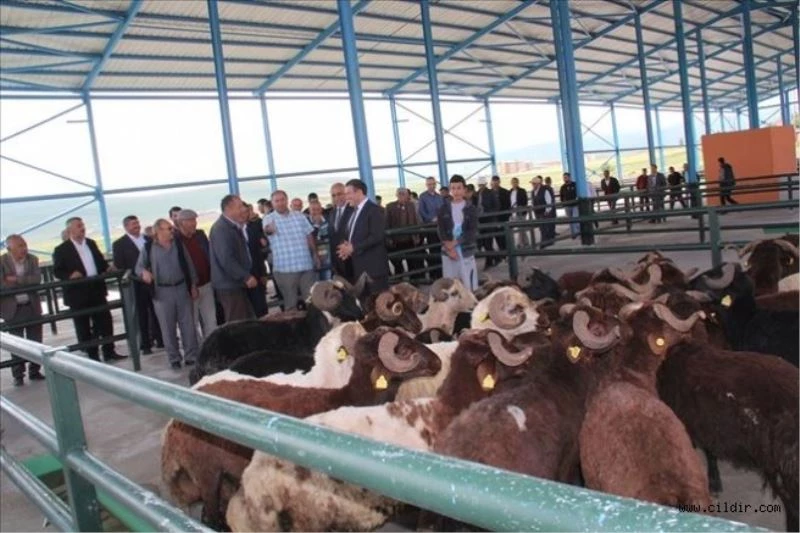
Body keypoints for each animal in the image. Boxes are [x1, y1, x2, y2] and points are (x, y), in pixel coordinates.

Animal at [161, 326, 441, 529]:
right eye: (403, 349)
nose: (437, 362)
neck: (344, 397)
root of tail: (172, 428)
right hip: (207, 472)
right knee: (210, 516)